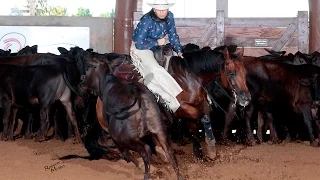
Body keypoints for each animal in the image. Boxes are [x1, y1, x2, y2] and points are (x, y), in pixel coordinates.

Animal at [81, 46, 251, 159]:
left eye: (245, 72)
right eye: (231, 73)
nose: (246, 98)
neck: (189, 76)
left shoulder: (199, 106)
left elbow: (196, 127)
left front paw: (200, 154)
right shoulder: (180, 109)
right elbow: (202, 119)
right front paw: (210, 148)